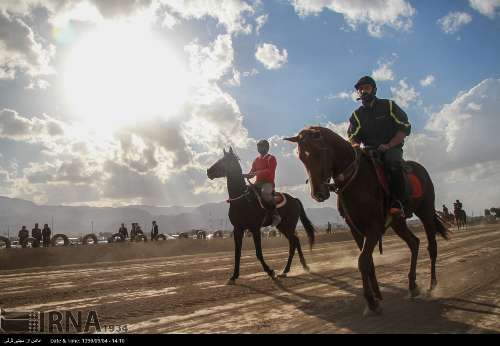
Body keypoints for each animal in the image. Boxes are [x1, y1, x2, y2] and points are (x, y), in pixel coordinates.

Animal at [207, 146, 316, 284]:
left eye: (224, 161)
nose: (208, 171)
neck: (242, 200)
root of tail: (294, 199)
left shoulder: (255, 229)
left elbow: (258, 252)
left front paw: (270, 271)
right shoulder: (238, 229)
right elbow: (237, 253)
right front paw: (234, 276)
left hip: (288, 225)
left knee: (293, 242)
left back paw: (291, 269)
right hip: (283, 226)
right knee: (295, 241)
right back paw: (296, 268)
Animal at [284, 125, 452, 314]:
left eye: (320, 151)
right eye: (301, 156)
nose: (318, 193)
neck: (355, 180)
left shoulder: (374, 227)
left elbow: (363, 261)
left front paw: (371, 302)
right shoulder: (355, 229)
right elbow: (368, 260)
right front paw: (377, 294)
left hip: (426, 212)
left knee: (432, 247)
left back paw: (432, 285)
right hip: (398, 222)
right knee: (414, 243)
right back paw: (412, 285)